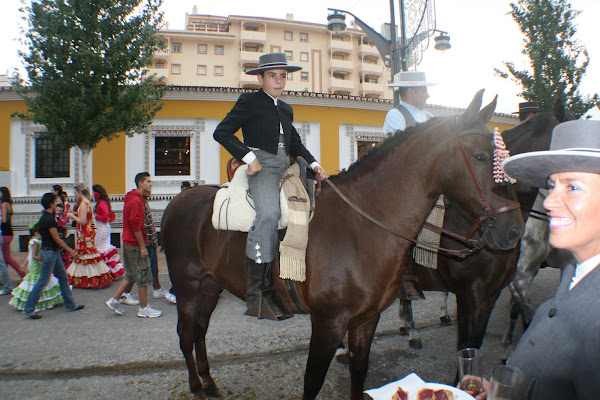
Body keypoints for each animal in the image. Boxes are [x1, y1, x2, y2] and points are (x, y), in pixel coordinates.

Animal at [162, 89, 524, 398]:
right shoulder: (329, 323)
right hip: (188, 286)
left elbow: (359, 370)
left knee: (199, 330)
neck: (362, 224)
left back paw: (209, 382)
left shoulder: (366, 319)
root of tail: (177, 200)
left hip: (210, 284)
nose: (514, 230)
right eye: (481, 156)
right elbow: (313, 381)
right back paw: (196, 386)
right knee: (184, 333)